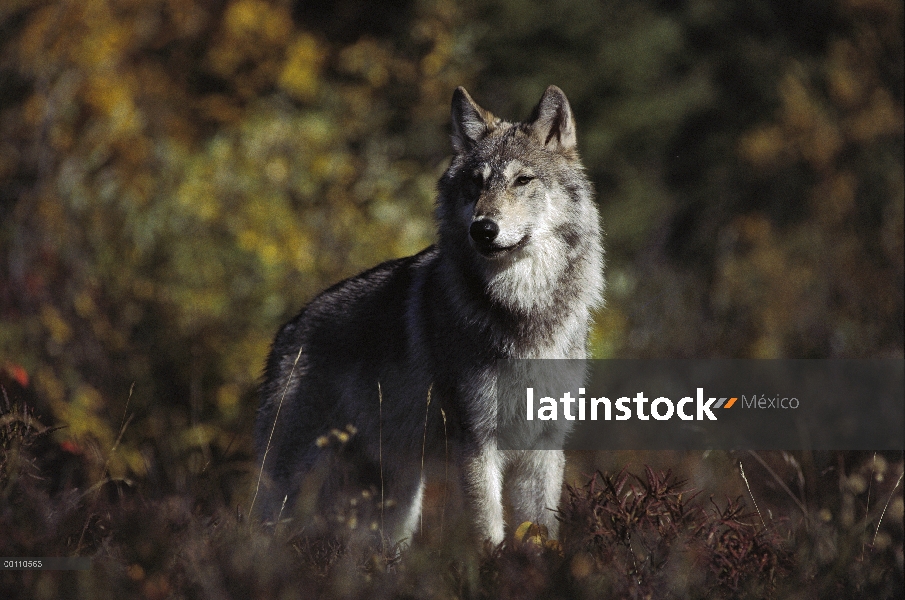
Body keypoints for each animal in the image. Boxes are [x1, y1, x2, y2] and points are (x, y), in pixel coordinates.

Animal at [254, 84, 604, 544]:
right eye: (475, 183)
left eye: (522, 180)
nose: (482, 229)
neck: (523, 309)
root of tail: (288, 330)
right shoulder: (476, 442)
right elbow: (488, 533)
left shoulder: (544, 445)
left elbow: (540, 532)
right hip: (291, 491)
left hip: (399, 502)